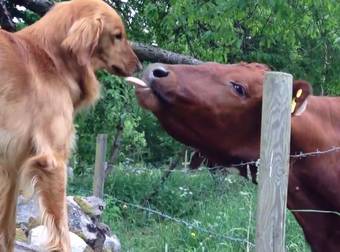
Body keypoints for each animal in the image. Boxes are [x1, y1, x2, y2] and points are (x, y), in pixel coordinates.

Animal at [0, 0, 141, 250]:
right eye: (117, 35)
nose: (139, 66)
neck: (50, 60)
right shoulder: (53, 162)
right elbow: (62, 230)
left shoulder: (12, 167)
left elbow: (7, 232)